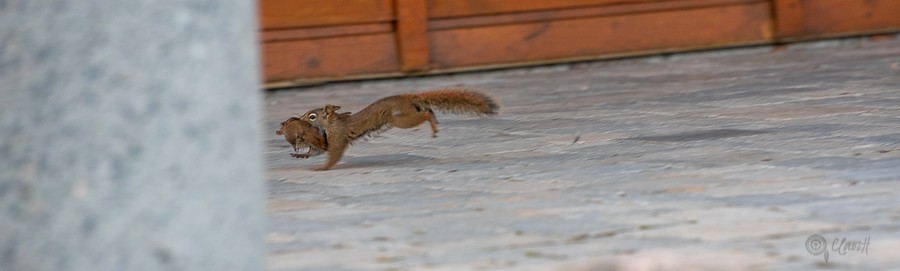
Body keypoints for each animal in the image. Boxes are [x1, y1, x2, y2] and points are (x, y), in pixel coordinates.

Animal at [298, 88, 496, 171]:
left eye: (312, 116)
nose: (299, 119)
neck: (333, 123)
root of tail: (409, 97)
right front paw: (302, 155)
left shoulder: (338, 137)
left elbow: (334, 153)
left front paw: (323, 168)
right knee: (427, 110)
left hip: (401, 119)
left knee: (424, 115)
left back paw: (432, 124)